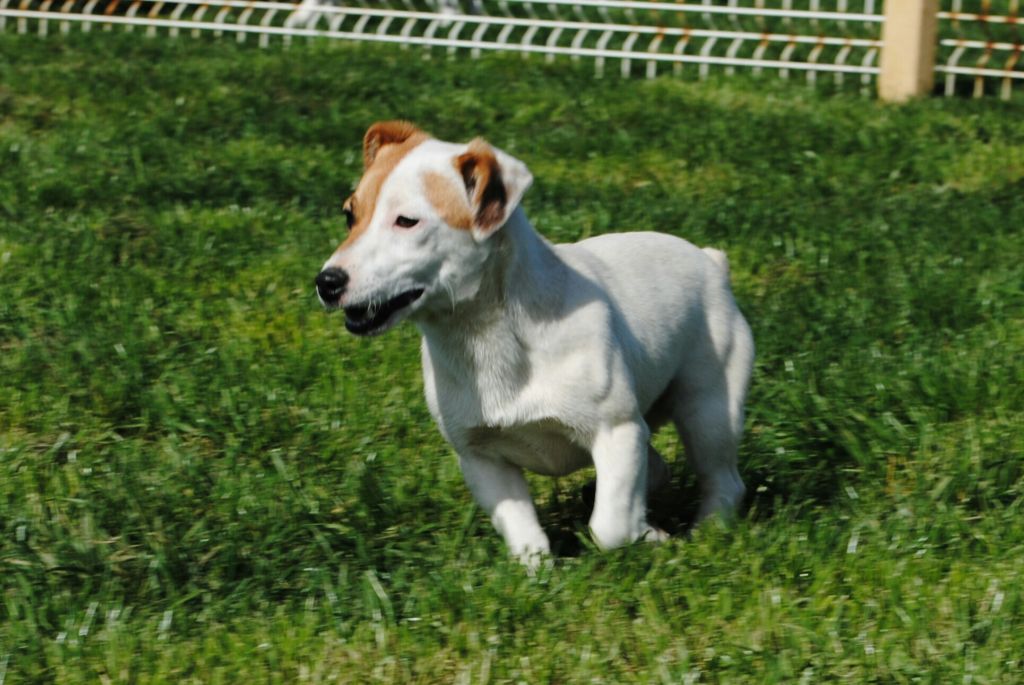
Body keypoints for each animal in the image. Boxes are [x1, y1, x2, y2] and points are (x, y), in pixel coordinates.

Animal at [315, 120, 757, 565]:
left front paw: (647, 536)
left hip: (708, 410)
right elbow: (525, 535)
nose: (327, 282)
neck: (487, 336)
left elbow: (610, 527)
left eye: (407, 221)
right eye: (349, 215)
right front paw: (539, 570)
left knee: (722, 478)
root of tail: (711, 261)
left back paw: (707, 530)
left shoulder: (618, 431)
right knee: (658, 468)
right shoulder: (481, 458)